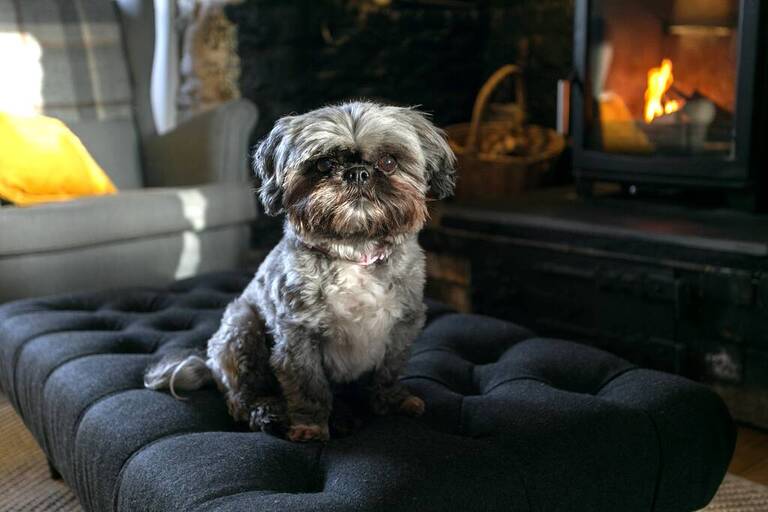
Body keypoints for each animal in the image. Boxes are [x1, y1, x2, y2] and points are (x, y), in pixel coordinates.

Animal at [144, 102, 456, 442]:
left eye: (388, 162)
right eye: (323, 164)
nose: (358, 173)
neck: (353, 251)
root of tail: (210, 365)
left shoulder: (402, 328)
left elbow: (389, 372)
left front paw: (393, 402)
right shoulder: (298, 335)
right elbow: (308, 385)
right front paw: (310, 427)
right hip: (241, 328)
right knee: (241, 395)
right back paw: (268, 411)